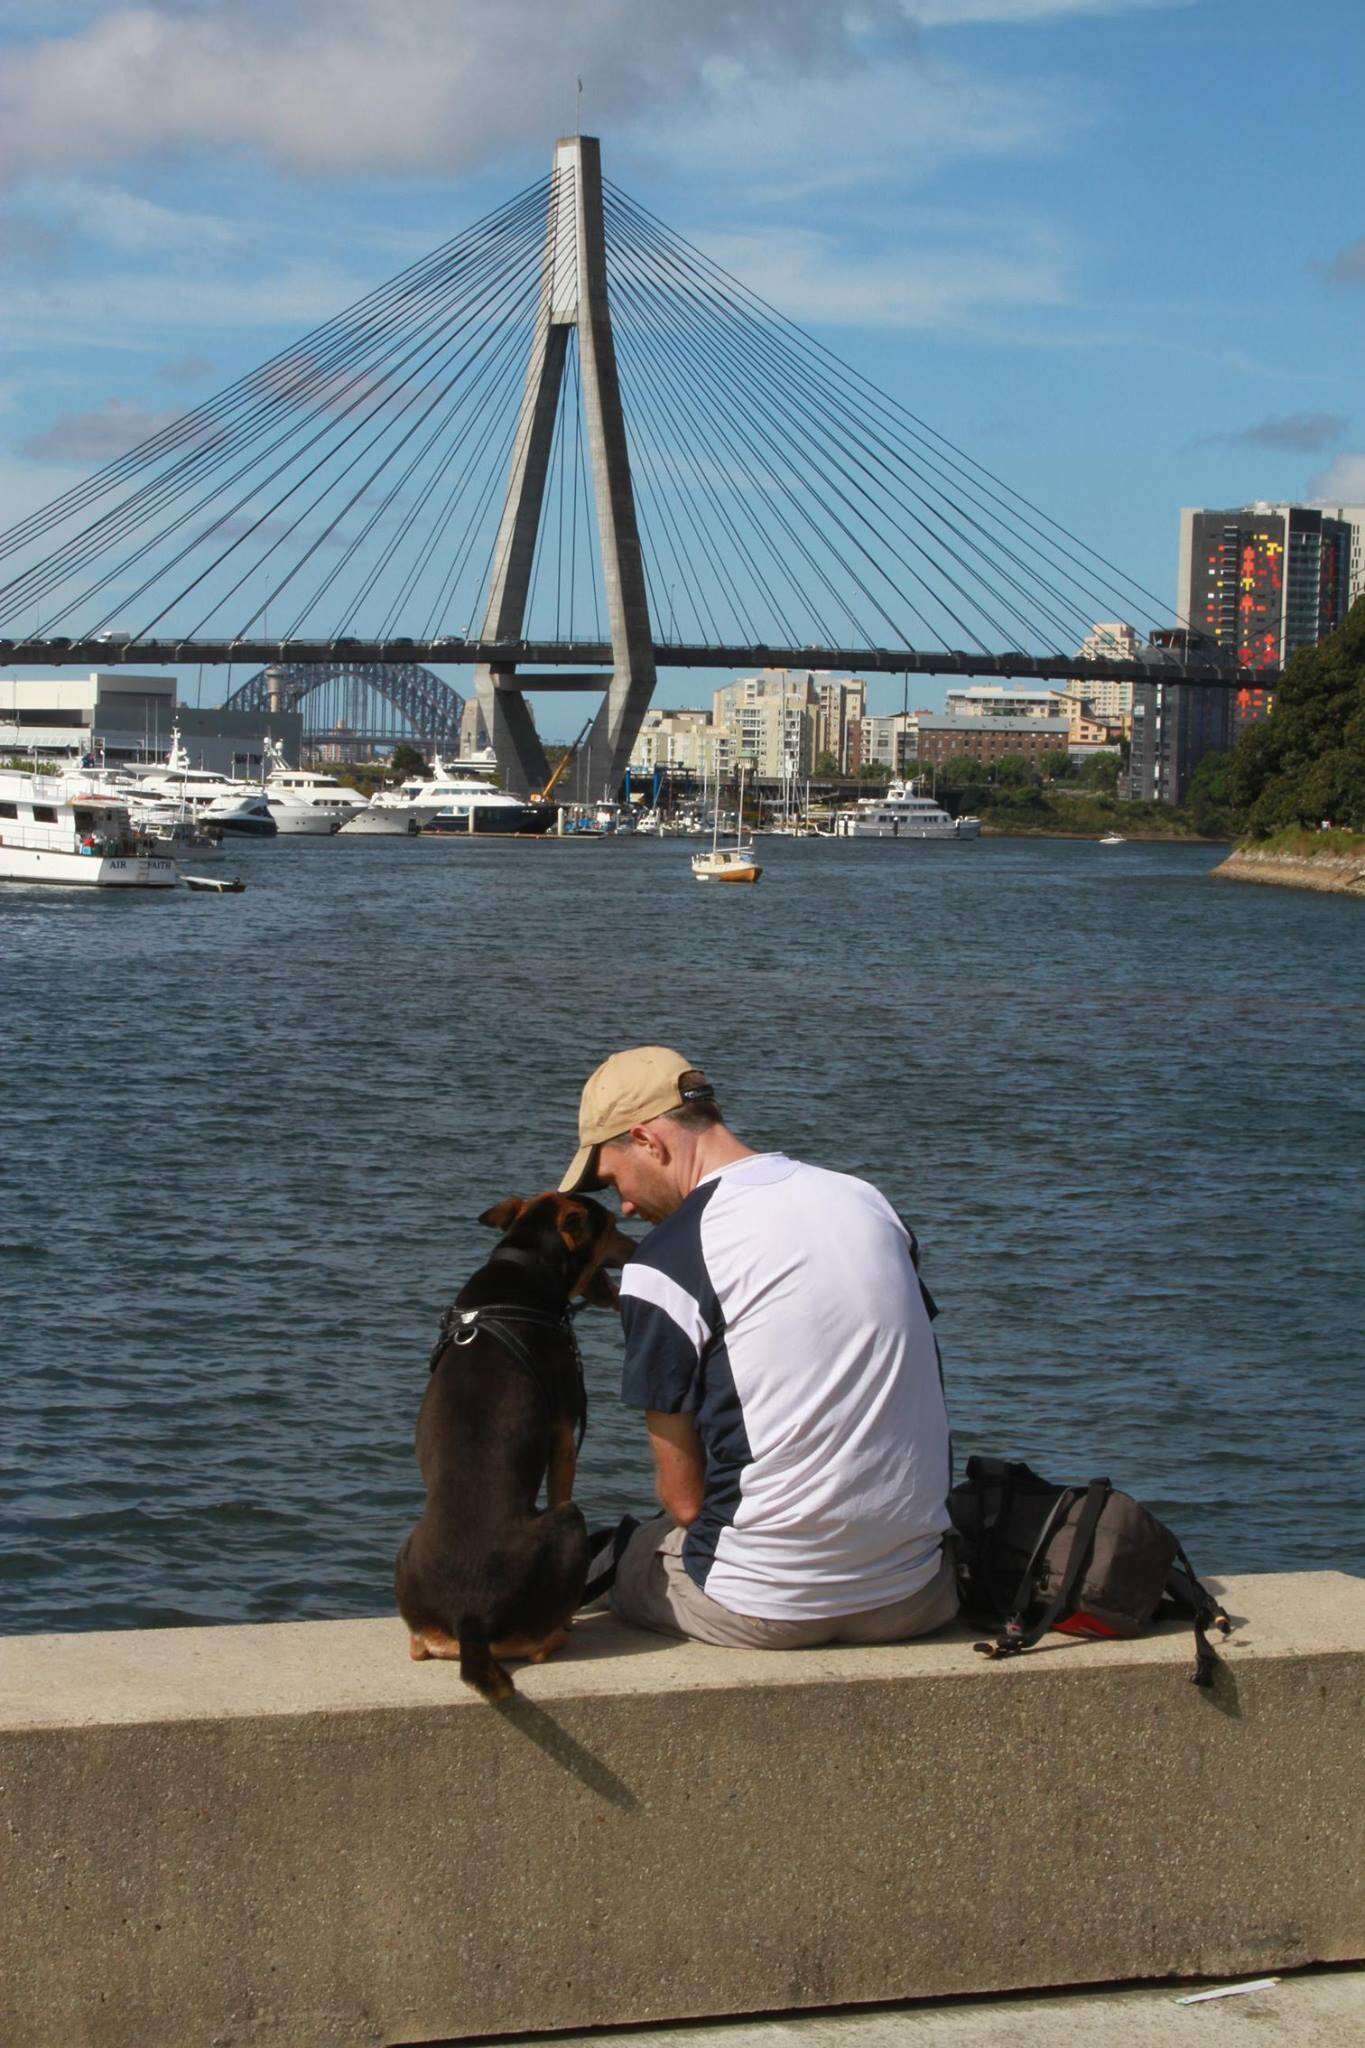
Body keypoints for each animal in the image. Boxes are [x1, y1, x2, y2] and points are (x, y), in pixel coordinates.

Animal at [392, 1196, 634, 1703]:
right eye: (611, 1227)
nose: (637, 1246)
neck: (523, 1261)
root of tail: (470, 1622)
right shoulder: (564, 1431)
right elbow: (562, 1480)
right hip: (570, 1522)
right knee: (540, 1640)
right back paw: (560, 1630)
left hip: (405, 1555)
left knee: (422, 1642)